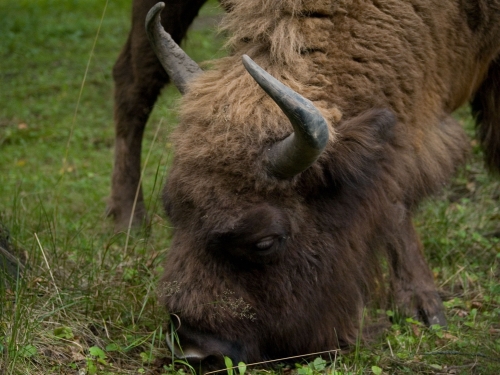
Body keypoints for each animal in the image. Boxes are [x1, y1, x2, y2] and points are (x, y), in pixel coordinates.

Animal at [126, 0, 500, 372]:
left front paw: (425, 310)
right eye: (173, 212)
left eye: (264, 242)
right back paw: (125, 219)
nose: (195, 351)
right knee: (134, 84)